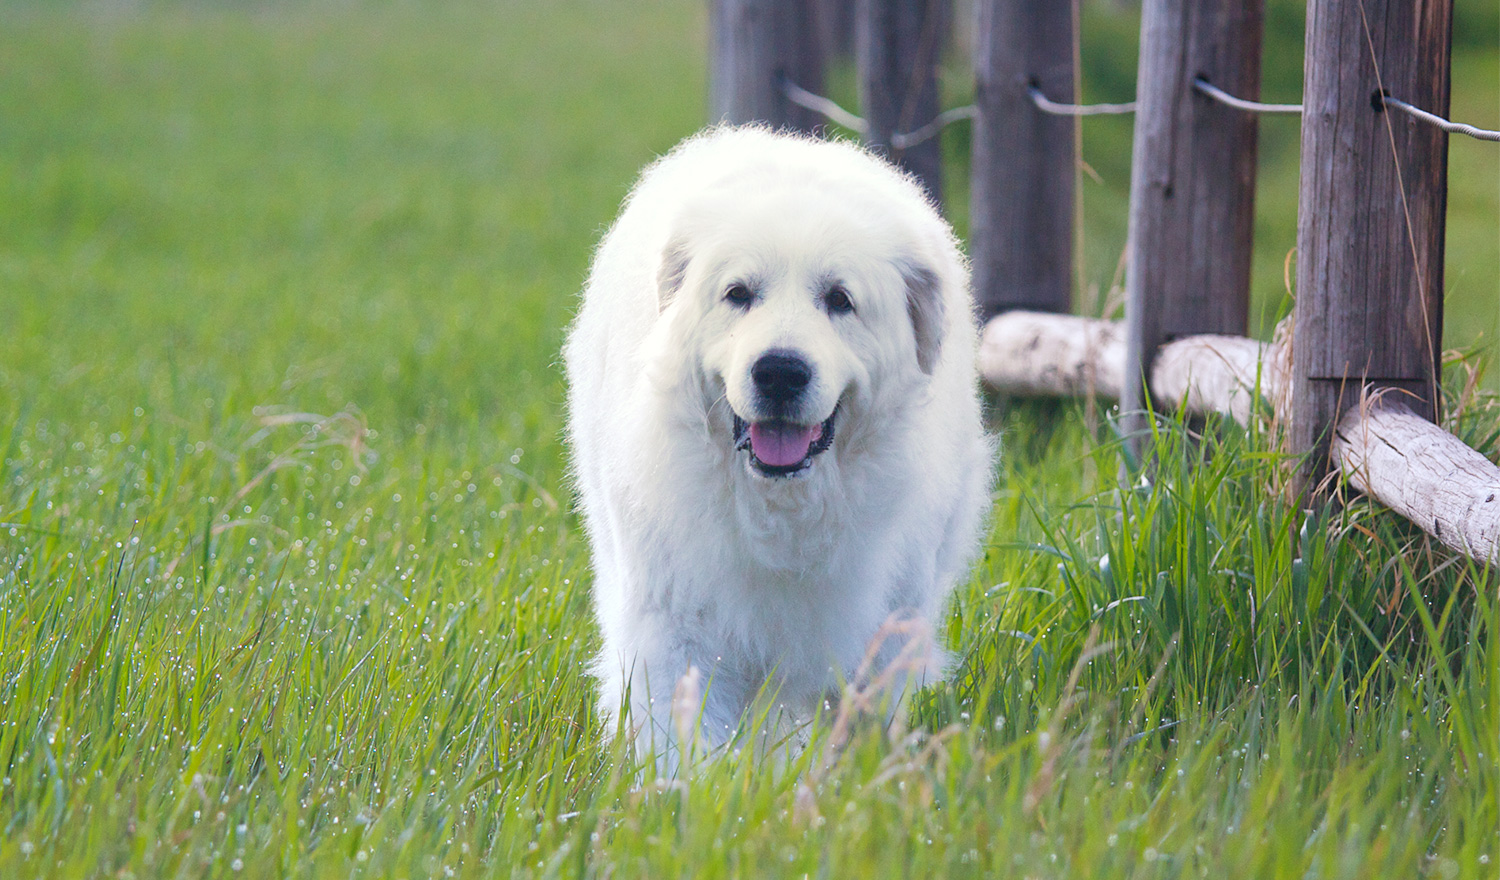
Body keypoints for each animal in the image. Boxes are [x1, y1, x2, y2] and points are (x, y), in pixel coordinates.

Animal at [564, 127, 996, 767]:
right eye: (738, 293)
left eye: (839, 299)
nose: (780, 372)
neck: (783, 511)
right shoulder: (674, 620)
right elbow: (682, 739)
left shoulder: (881, 627)